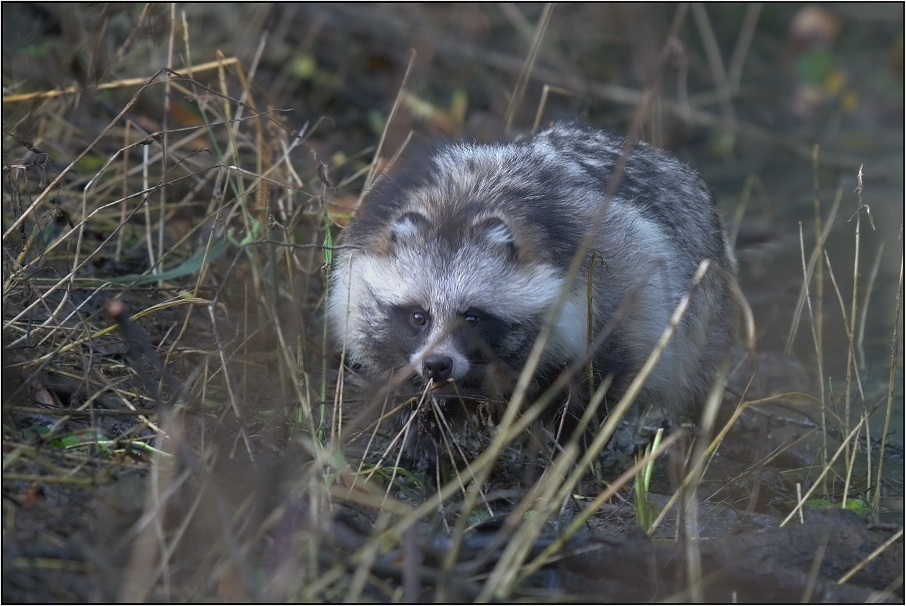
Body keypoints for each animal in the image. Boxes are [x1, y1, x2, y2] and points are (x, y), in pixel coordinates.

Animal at [326, 126, 736, 464]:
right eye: (418, 316)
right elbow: (401, 381)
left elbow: (599, 381)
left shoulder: (620, 278)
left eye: (472, 317)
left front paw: (569, 450)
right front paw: (418, 431)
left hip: (705, 310)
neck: (461, 202)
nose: (437, 365)